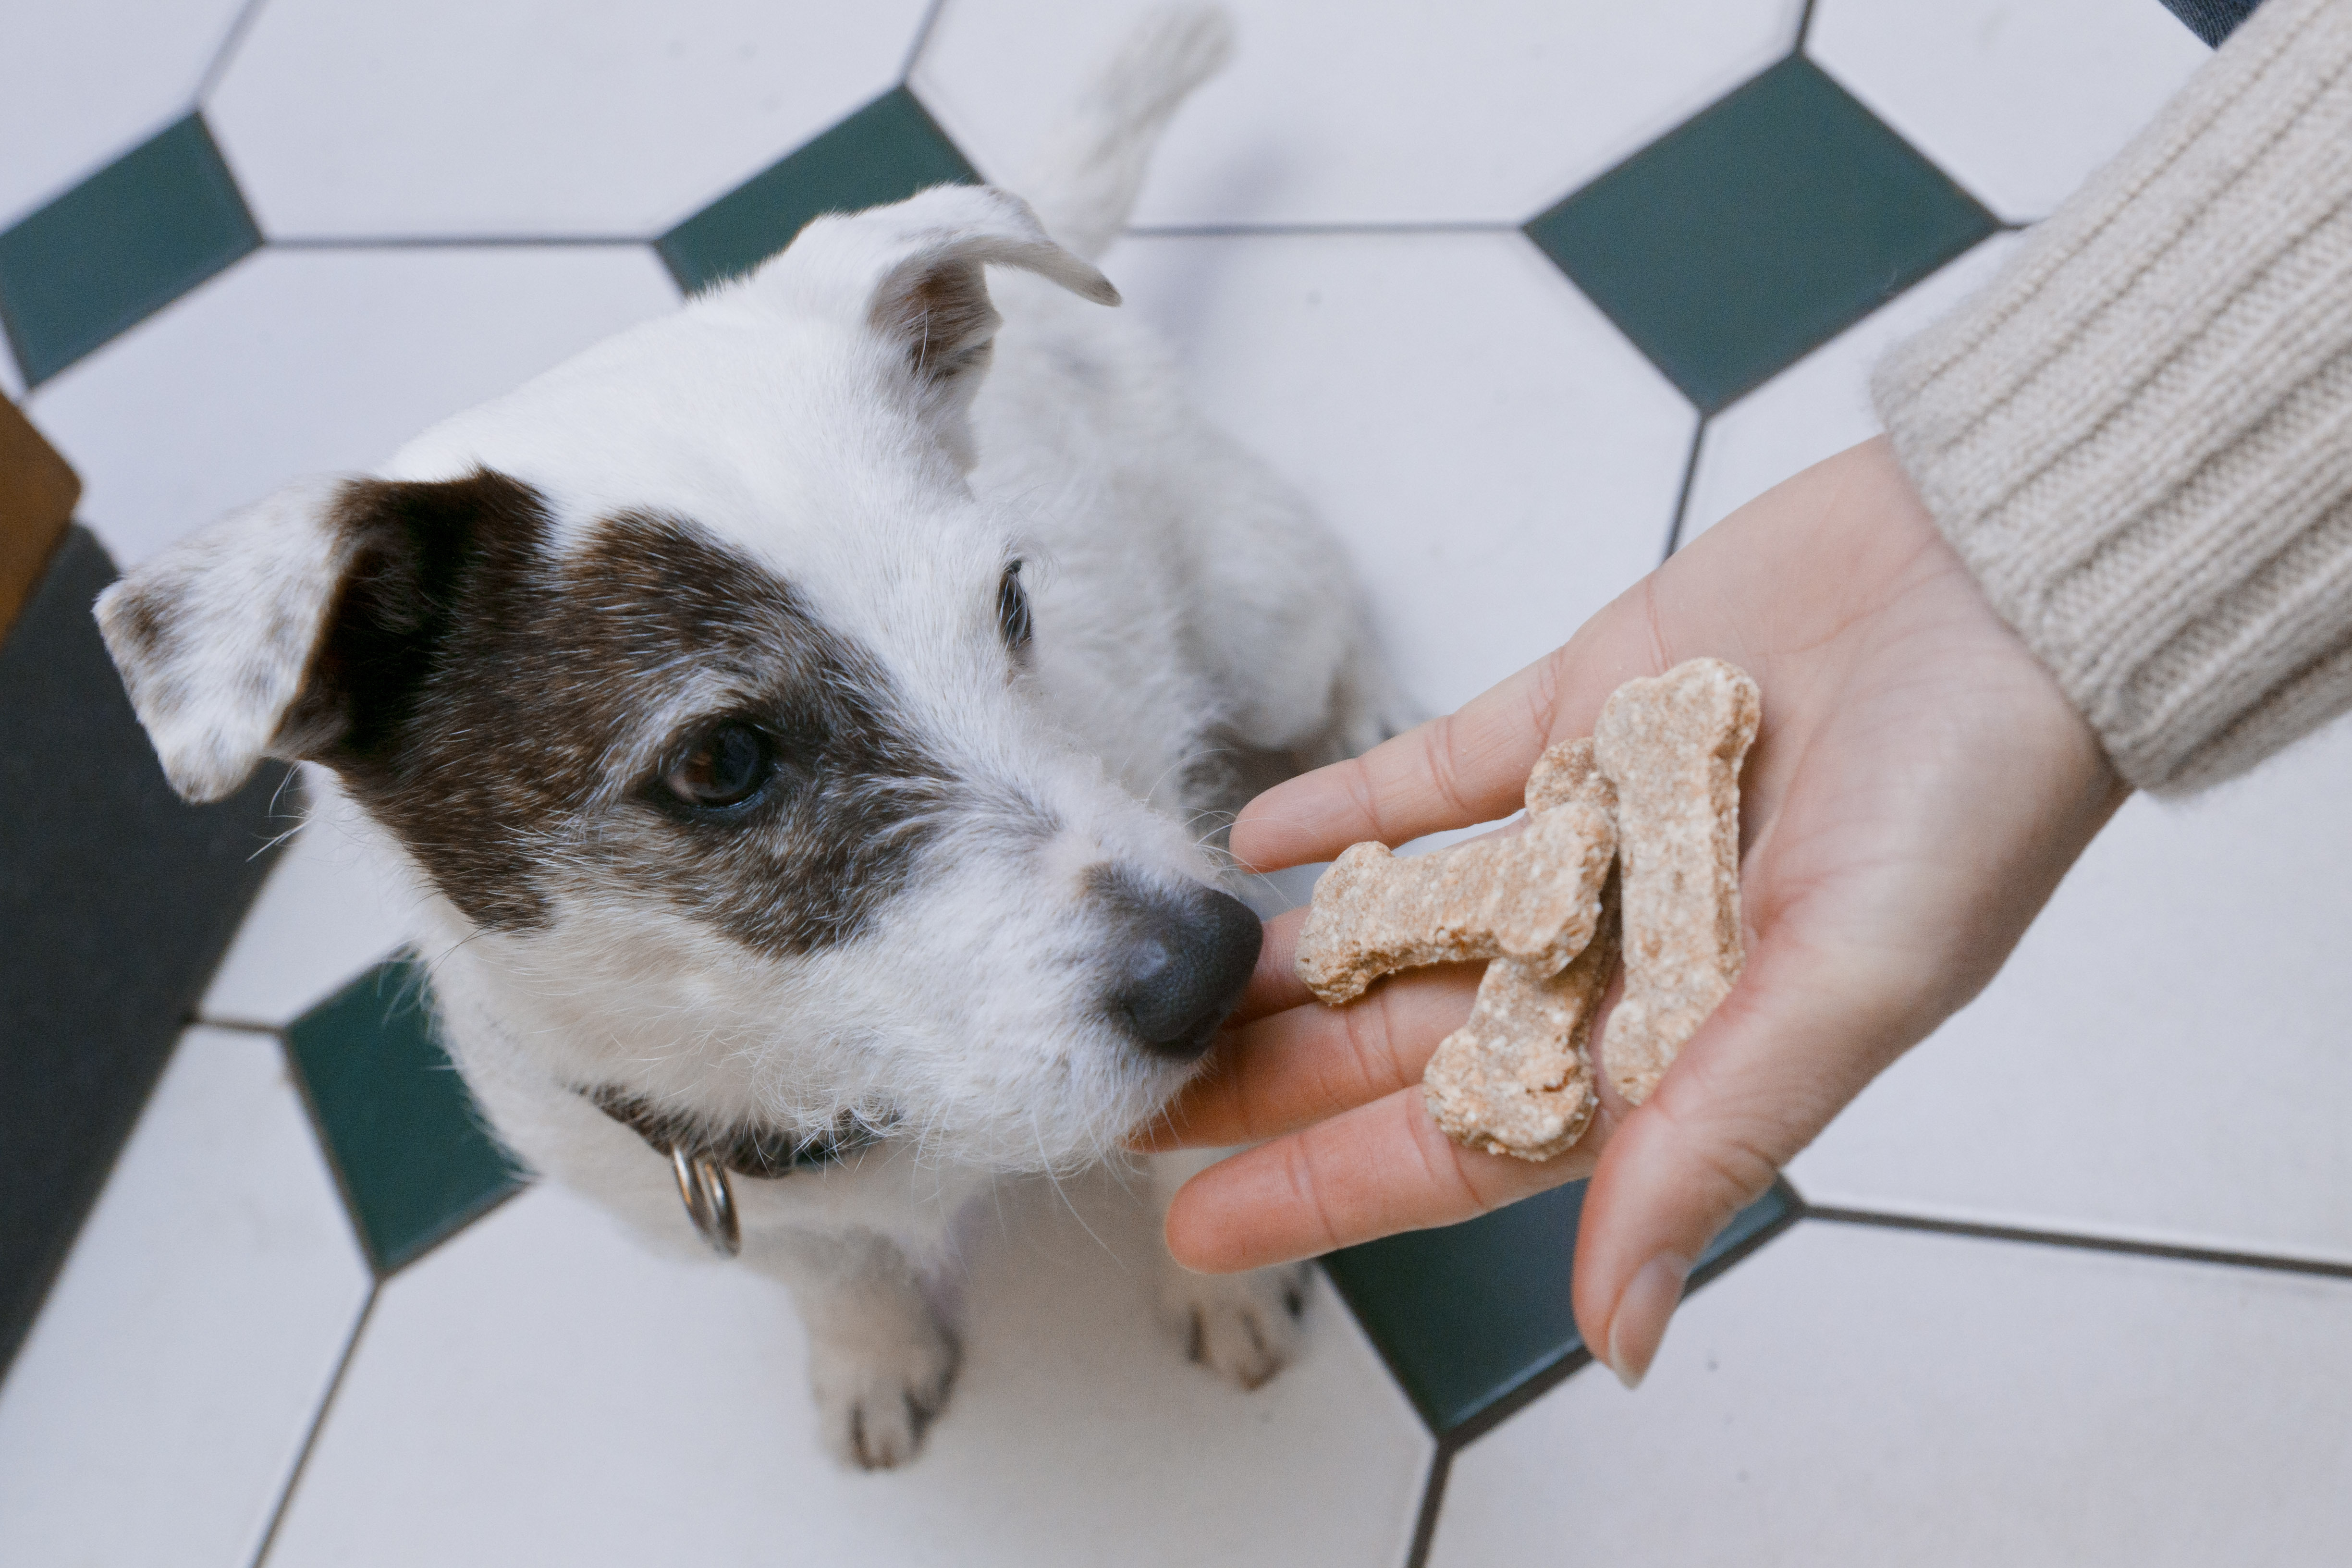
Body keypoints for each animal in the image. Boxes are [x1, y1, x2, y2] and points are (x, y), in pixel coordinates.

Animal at [96, 6, 1392, 1476]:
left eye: (1011, 600)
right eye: (720, 764)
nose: (1216, 964)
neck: (850, 1102)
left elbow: (1200, 1160)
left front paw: (1225, 1279)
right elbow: (829, 1270)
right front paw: (870, 1353)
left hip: (1261, 616)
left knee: (1327, 639)